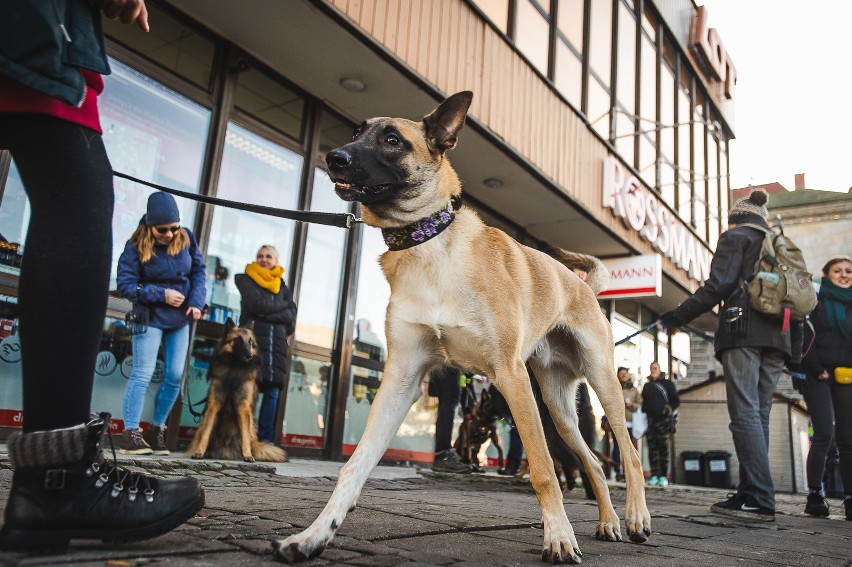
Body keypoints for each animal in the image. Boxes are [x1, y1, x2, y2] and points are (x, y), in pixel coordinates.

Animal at [188, 318, 288, 464]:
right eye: (238, 340)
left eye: (250, 341)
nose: (249, 356)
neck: (235, 366)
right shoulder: (214, 404)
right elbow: (206, 431)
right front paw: (199, 452)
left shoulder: (243, 406)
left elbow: (244, 435)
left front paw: (247, 455)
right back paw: (208, 452)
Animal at [274, 92, 652, 564]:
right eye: (356, 131)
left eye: (392, 140)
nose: (334, 157)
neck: (428, 242)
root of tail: (582, 285)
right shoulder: (401, 380)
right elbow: (355, 465)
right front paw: (314, 534)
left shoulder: (511, 377)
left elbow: (543, 470)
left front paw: (559, 537)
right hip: (558, 408)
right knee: (595, 462)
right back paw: (608, 522)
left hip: (601, 384)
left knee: (629, 453)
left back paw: (635, 518)